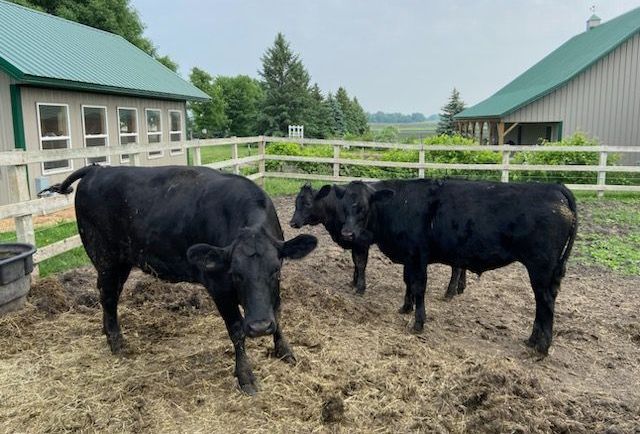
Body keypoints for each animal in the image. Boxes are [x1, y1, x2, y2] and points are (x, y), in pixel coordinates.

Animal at [40, 165, 317, 395]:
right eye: (235, 274)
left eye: (275, 271)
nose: (259, 327)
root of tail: (98, 169)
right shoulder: (218, 284)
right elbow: (237, 330)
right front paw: (245, 376)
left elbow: (277, 312)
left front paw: (285, 351)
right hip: (105, 257)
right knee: (107, 297)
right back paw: (116, 343)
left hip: (119, 262)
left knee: (110, 296)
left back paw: (107, 332)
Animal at [290, 183, 467, 299]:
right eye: (296, 202)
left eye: (307, 203)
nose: (292, 222)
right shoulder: (353, 240)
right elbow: (355, 261)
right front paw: (353, 282)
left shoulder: (362, 240)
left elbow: (360, 262)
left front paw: (360, 288)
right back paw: (460, 287)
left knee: (456, 266)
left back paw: (450, 292)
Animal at [325, 179, 577, 355]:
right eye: (344, 206)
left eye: (363, 206)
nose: (348, 234)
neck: (398, 205)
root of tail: (554, 187)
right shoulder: (409, 257)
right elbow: (408, 282)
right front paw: (405, 308)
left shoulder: (418, 255)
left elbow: (418, 287)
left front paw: (418, 323)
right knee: (542, 302)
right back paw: (532, 340)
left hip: (541, 267)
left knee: (545, 302)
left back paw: (542, 347)